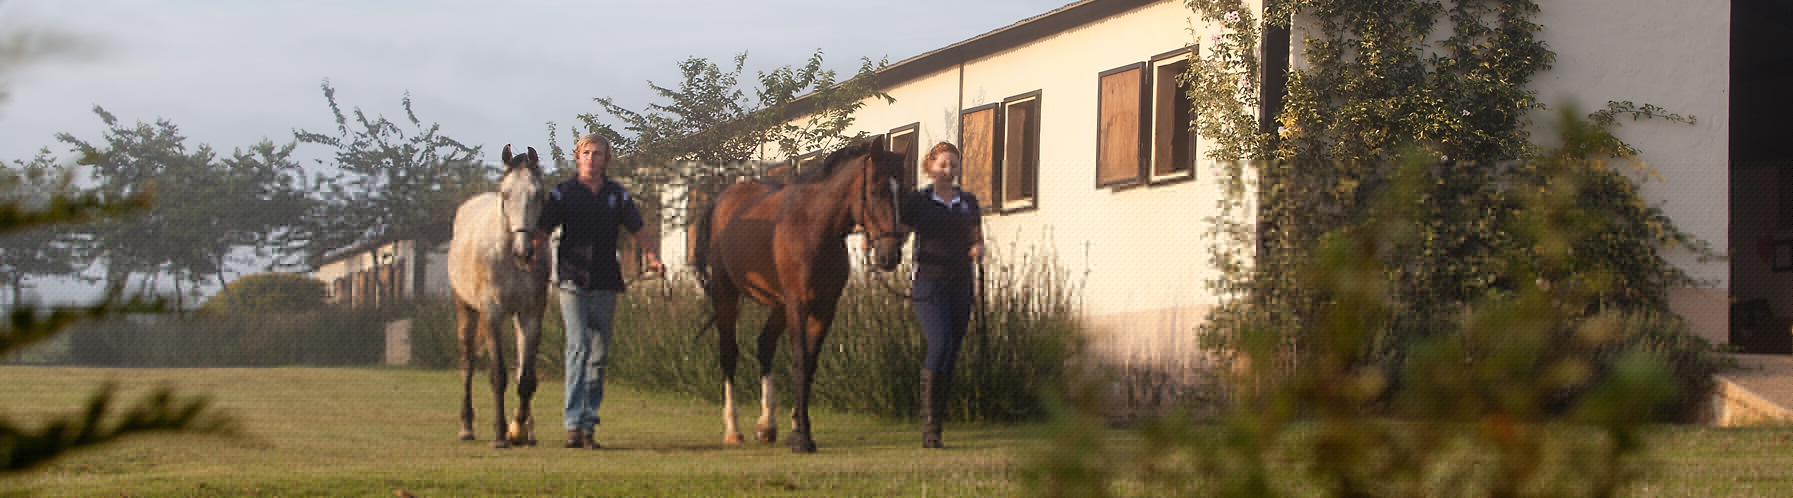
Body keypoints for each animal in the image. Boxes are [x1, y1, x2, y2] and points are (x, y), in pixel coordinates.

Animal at [447, 144, 549, 448]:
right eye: (506, 194)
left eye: (538, 194)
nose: (524, 251)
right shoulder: (491, 314)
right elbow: (498, 376)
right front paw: (500, 435)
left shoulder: (531, 315)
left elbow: (526, 379)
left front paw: (519, 431)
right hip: (465, 310)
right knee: (467, 365)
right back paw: (467, 428)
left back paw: (528, 431)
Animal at [691, 136, 909, 453]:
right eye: (876, 190)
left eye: (903, 191)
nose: (889, 255)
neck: (813, 227)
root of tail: (723, 199)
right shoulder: (798, 305)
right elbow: (799, 362)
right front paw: (802, 437)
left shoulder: (824, 308)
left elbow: (810, 366)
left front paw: (798, 427)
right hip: (727, 295)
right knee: (729, 352)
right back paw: (733, 429)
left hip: (778, 306)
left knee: (764, 345)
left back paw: (767, 425)